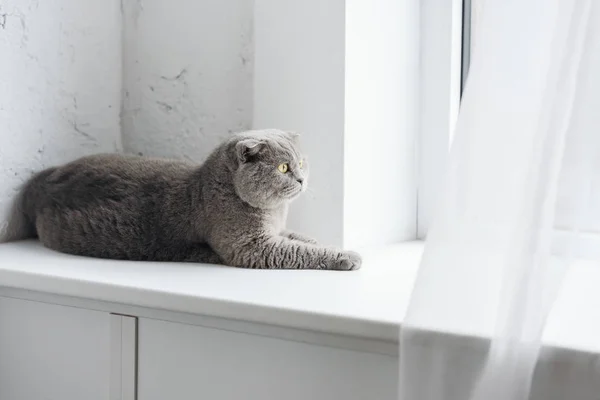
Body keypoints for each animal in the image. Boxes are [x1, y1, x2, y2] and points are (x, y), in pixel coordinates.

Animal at [17, 130, 360, 270]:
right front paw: (347, 256)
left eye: (301, 162)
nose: (302, 179)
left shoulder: (275, 232)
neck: (273, 212)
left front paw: (324, 242)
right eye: (283, 168)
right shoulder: (251, 247)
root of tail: (46, 177)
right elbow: (298, 251)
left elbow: (302, 239)